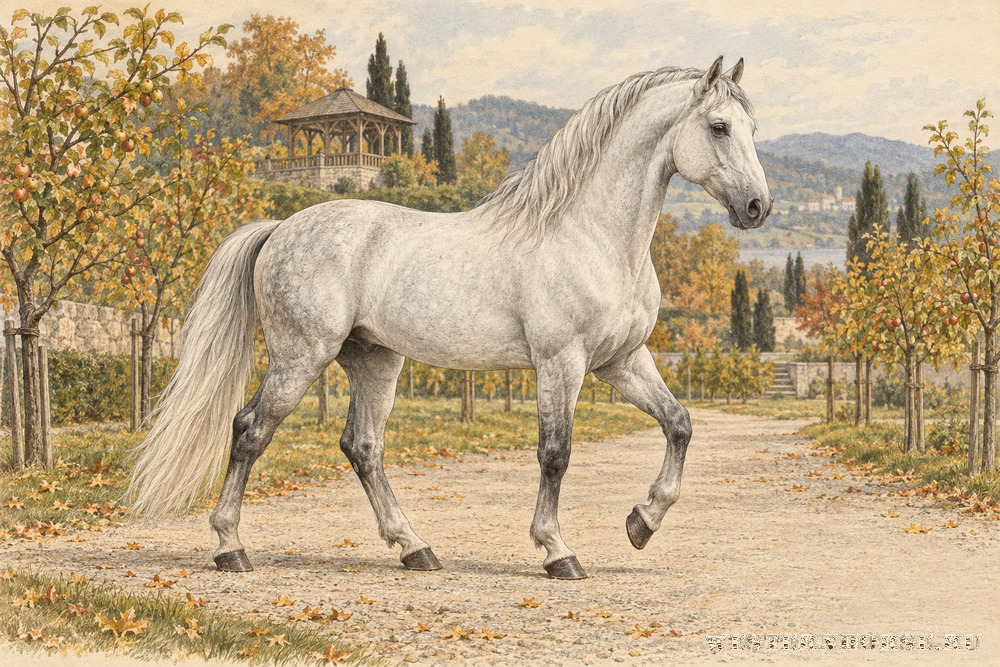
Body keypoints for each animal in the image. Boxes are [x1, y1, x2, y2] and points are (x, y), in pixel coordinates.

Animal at [127, 56, 771, 580]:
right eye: (719, 127)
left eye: (753, 129)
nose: (757, 208)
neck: (593, 236)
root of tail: (280, 227)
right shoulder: (561, 362)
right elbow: (556, 453)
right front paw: (557, 552)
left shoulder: (621, 361)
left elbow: (680, 423)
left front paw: (642, 523)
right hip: (301, 355)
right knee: (250, 430)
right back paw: (230, 548)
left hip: (376, 360)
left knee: (363, 446)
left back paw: (415, 548)